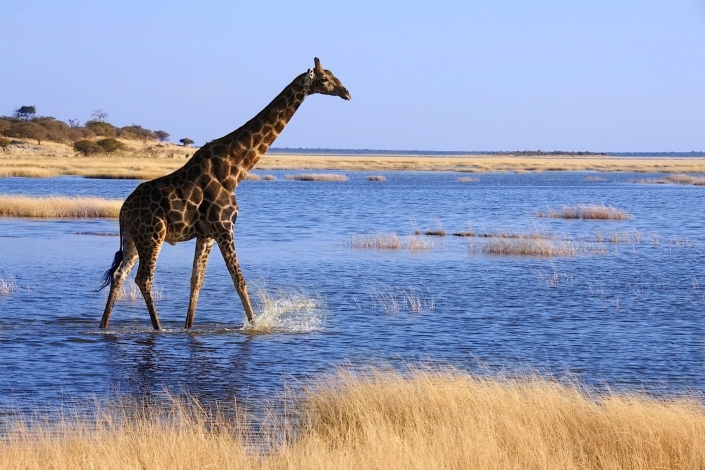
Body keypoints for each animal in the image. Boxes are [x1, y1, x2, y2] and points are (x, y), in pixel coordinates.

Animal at [99, 57, 350, 331]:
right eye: (325, 79)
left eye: (334, 75)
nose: (347, 93)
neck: (234, 170)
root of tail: (123, 211)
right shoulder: (224, 227)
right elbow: (238, 279)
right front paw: (254, 325)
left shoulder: (206, 234)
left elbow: (196, 282)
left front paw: (188, 328)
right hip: (153, 234)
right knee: (143, 278)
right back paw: (159, 328)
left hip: (133, 239)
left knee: (119, 274)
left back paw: (104, 326)